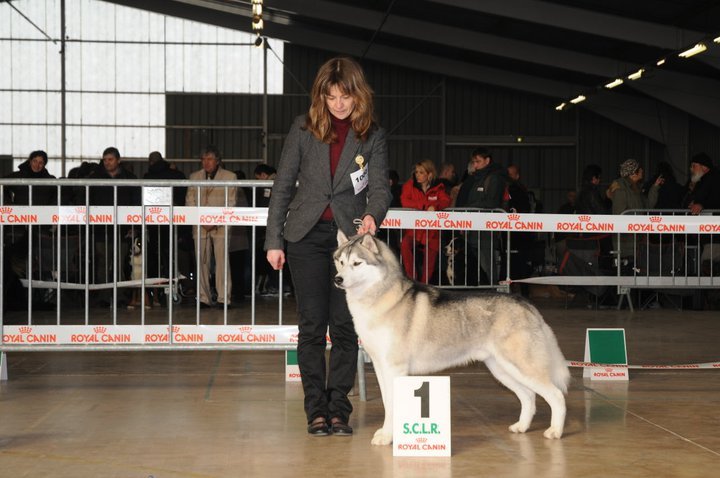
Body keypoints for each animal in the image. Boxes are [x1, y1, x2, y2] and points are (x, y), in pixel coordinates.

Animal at [334, 233, 572, 446]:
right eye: (341, 262)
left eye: (357, 263)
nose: (338, 279)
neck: (381, 297)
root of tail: (526, 304)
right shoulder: (380, 366)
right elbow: (387, 402)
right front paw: (386, 433)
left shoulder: (394, 368)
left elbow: (393, 405)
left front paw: (388, 437)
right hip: (501, 369)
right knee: (529, 396)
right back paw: (521, 426)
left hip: (520, 366)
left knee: (556, 396)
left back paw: (555, 431)